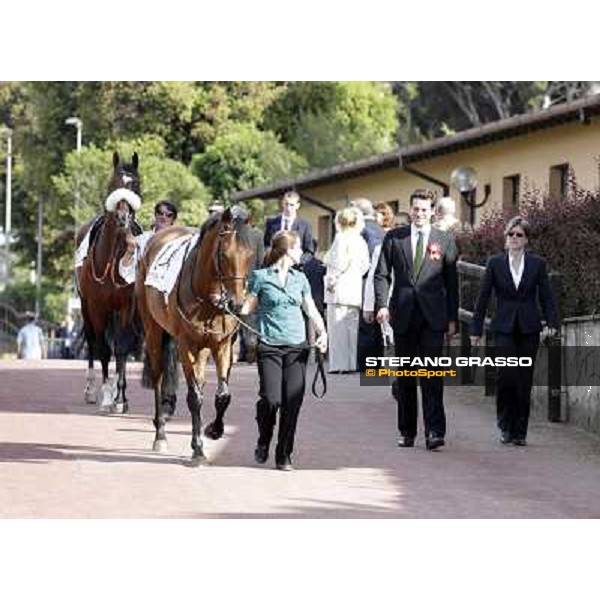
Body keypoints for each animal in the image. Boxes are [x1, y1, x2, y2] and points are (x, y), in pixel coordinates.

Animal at [75, 152, 143, 412]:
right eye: (114, 184)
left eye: (135, 184)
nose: (123, 217)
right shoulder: (97, 306)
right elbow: (102, 349)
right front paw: (105, 394)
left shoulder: (125, 306)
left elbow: (122, 348)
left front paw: (120, 397)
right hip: (85, 307)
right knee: (92, 340)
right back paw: (90, 389)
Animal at [137, 209, 253, 466]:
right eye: (224, 254)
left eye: (250, 254)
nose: (237, 304)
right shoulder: (187, 346)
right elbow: (194, 397)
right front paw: (198, 448)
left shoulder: (222, 345)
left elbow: (223, 395)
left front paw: (214, 430)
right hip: (153, 331)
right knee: (158, 377)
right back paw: (160, 433)